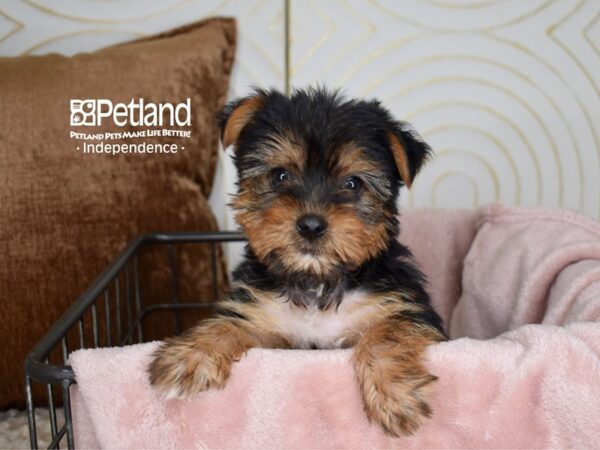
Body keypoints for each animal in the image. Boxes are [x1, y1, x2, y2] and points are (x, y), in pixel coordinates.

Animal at [147, 87, 442, 436]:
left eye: (353, 183)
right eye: (280, 175)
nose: (311, 225)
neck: (316, 281)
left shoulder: (404, 308)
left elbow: (387, 335)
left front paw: (394, 396)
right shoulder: (266, 324)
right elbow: (229, 324)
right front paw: (189, 356)